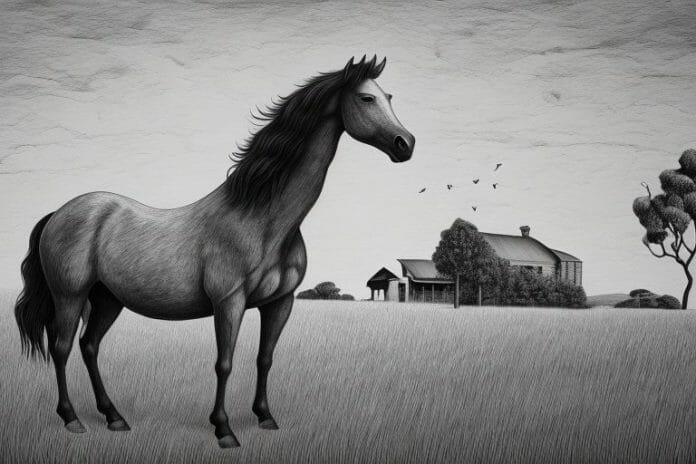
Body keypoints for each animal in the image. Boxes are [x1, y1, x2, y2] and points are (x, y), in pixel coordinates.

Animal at [14, 55, 415, 448]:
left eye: (389, 96)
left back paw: (114, 417)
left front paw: (265, 417)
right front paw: (223, 430)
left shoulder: (280, 302)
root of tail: (59, 213)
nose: (405, 144)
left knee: (89, 346)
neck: (261, 219)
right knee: (62, 347)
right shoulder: (229, 302)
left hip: (107, 299)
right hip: (70, 296)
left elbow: (265, 358)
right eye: (366, 98)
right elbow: (225, 363)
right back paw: (72, 419)